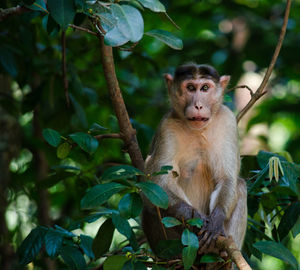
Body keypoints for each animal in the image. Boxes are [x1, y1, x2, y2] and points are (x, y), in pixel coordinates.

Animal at [142, 62, 247, 268]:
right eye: (190, 88)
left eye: (205, 88)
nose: (198, 105)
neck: (198, 130)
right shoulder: (167, 127)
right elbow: (155, 184)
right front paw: (196, 217)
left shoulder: (227, 121)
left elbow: (227, 178)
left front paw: (216, 221)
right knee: (151, 205)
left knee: (240, 185)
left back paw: (221, 258)